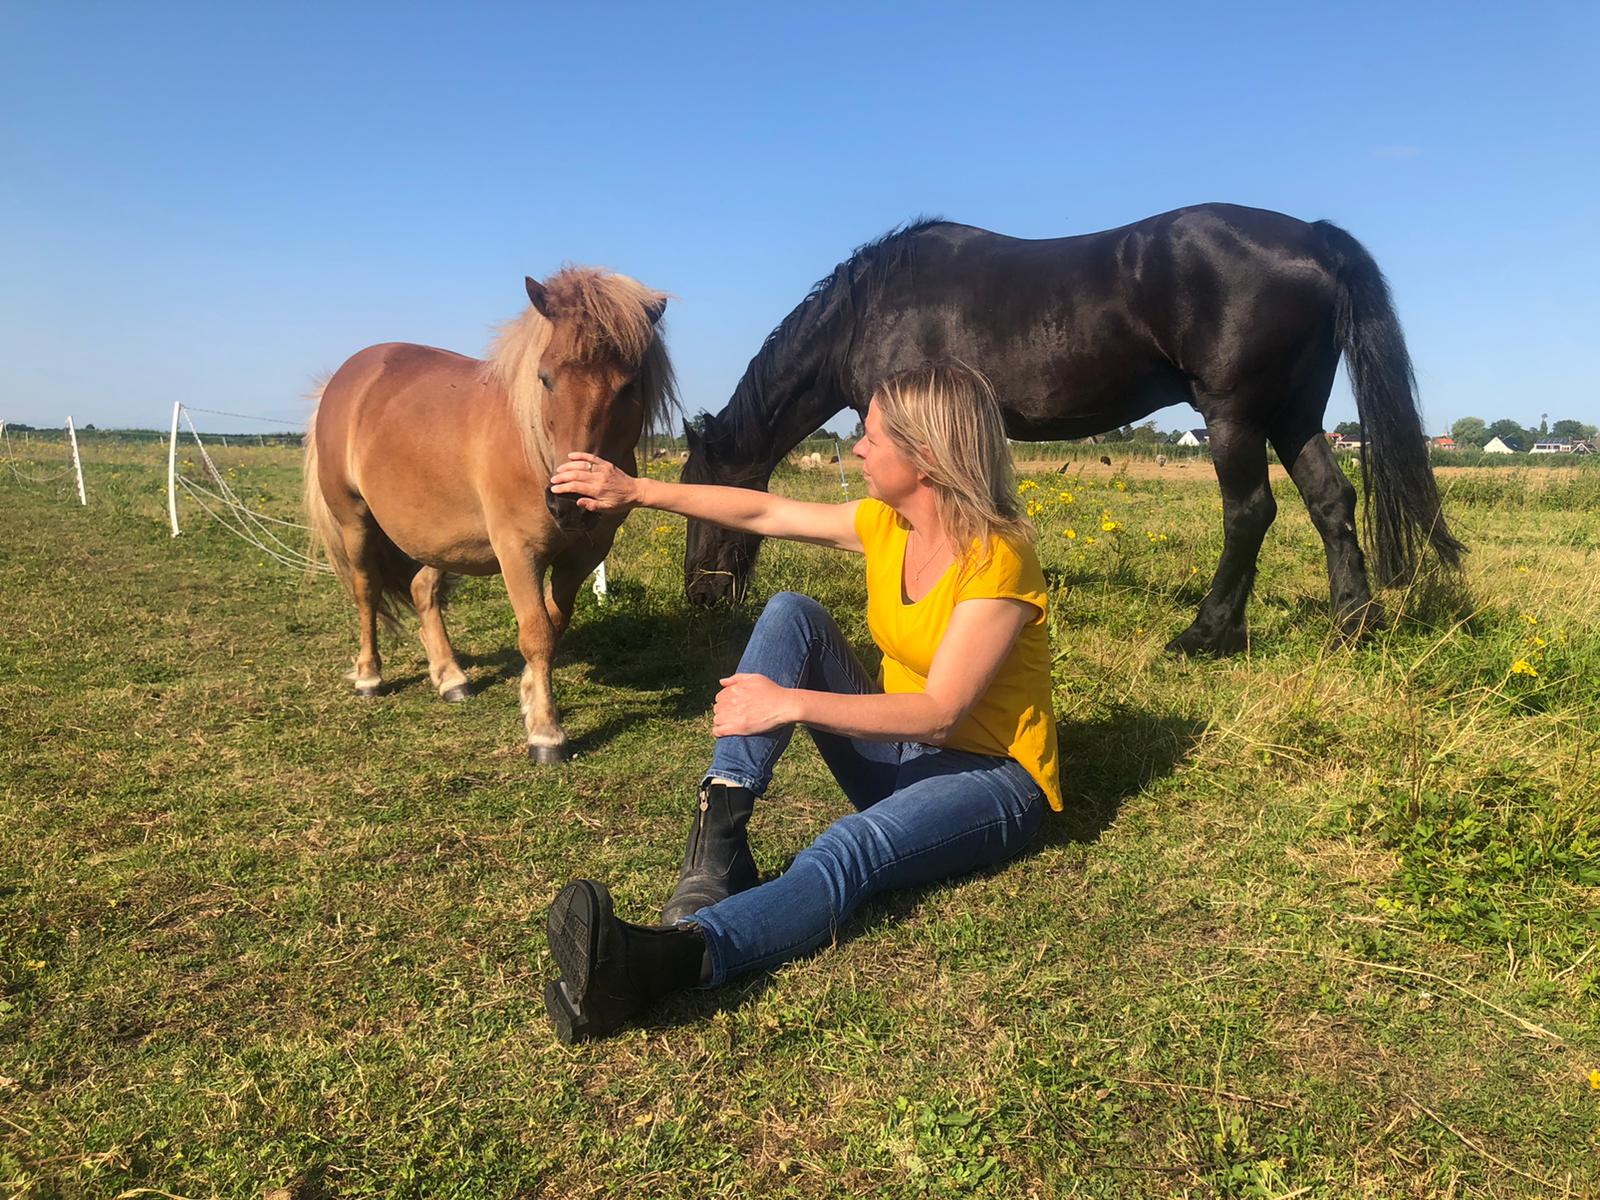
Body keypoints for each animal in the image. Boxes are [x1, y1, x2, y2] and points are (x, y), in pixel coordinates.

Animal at [304, 267, 675, 761]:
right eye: (545, 378)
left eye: (628, 386)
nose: (568, 503)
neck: (532, 445)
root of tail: (344, 377)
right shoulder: (517, 552)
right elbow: (536, 633)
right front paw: (546, 732)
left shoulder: (582, 556)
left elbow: (554, 624)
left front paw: (529, 697)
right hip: (355, 521)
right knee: (367, 592)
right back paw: (369, 676)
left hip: (440, 537)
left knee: (423, 590)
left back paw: (451, 678)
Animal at [681, 203, 1464, 656]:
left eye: (702, 504)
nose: (700, 600)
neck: (867, 310)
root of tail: (1314, 240)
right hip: (1294, 415)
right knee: (1332, 503)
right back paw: (1351, 626)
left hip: (1236, 413)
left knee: (1250, 512)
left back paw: (1206, 635)